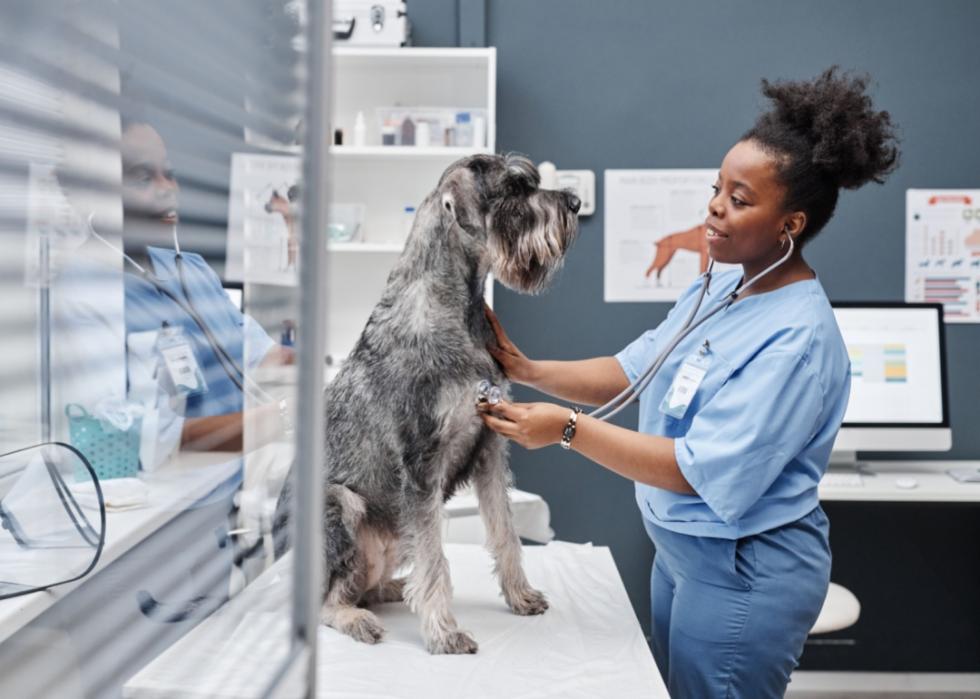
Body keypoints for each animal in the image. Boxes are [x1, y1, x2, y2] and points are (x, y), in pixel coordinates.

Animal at [274, 152, 580, 656]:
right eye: (514, 188)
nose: (574, 202)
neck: (456, 309)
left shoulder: (489, 447)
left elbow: (504, 531)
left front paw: (520, 595)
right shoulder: (421, 463)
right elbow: (436, 558)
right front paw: (445, 632)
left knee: (366, 582)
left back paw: (395, 589)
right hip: (341, 504)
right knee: (327, 601)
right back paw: (359, 618)